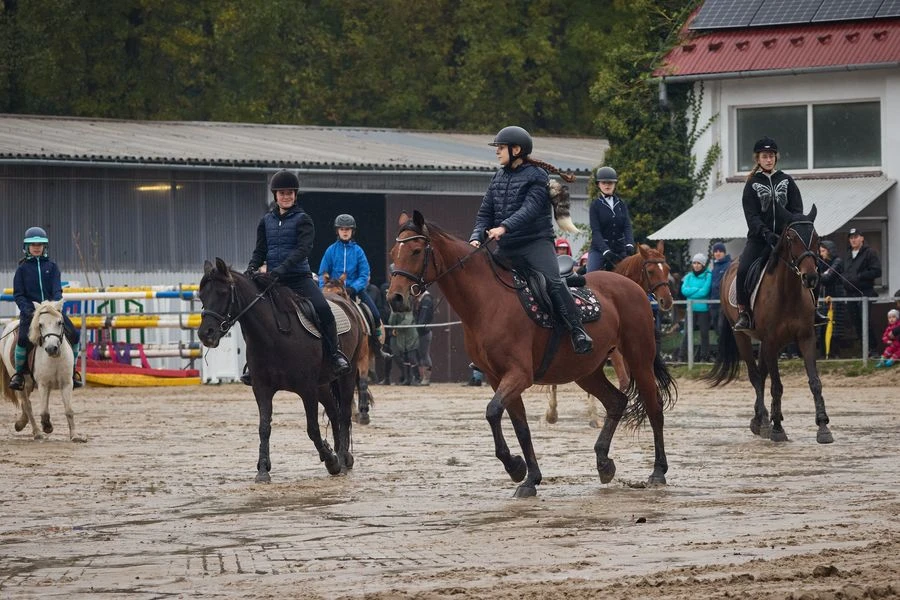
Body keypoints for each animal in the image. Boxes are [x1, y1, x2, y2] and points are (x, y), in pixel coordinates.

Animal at [0, 300, 85, 440]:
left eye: (59, 322)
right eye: (40, 324)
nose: (51, 348)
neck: (55, 359)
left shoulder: (66, 383)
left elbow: (69, 410)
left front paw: (75, 435)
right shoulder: (43, 384)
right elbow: (44, 411)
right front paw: (47, 427)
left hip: (30, 384)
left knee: (26, 404)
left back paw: (21, 423)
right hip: (22, 384)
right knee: (27, 405)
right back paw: (37, 432)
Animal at [198, 258, 366, 482]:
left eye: (223, 293)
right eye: (201, 295)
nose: (205, 334)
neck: (273, 336)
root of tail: (347, 304)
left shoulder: (307, 389)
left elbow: (312, 428)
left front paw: (331, 461)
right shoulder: (262, 388)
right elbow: (264, 427)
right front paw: (262, 469)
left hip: (347, 374)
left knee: (344, 414)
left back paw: (343, 458)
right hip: (322, 385)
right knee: (333, 412)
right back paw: (340, 454)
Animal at [708, 206, 832, 446]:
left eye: (817, 238)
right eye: (791, 238)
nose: (811, 277)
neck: (789, 292)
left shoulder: (806, 337)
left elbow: (815, 381)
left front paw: (823, 427)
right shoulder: (772, 341)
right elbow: (777, 385)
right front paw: (776, 428)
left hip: (769, 343)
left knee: (762, 373)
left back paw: (761, 419)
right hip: (744, 338)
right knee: (756, 376)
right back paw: (764, 420)